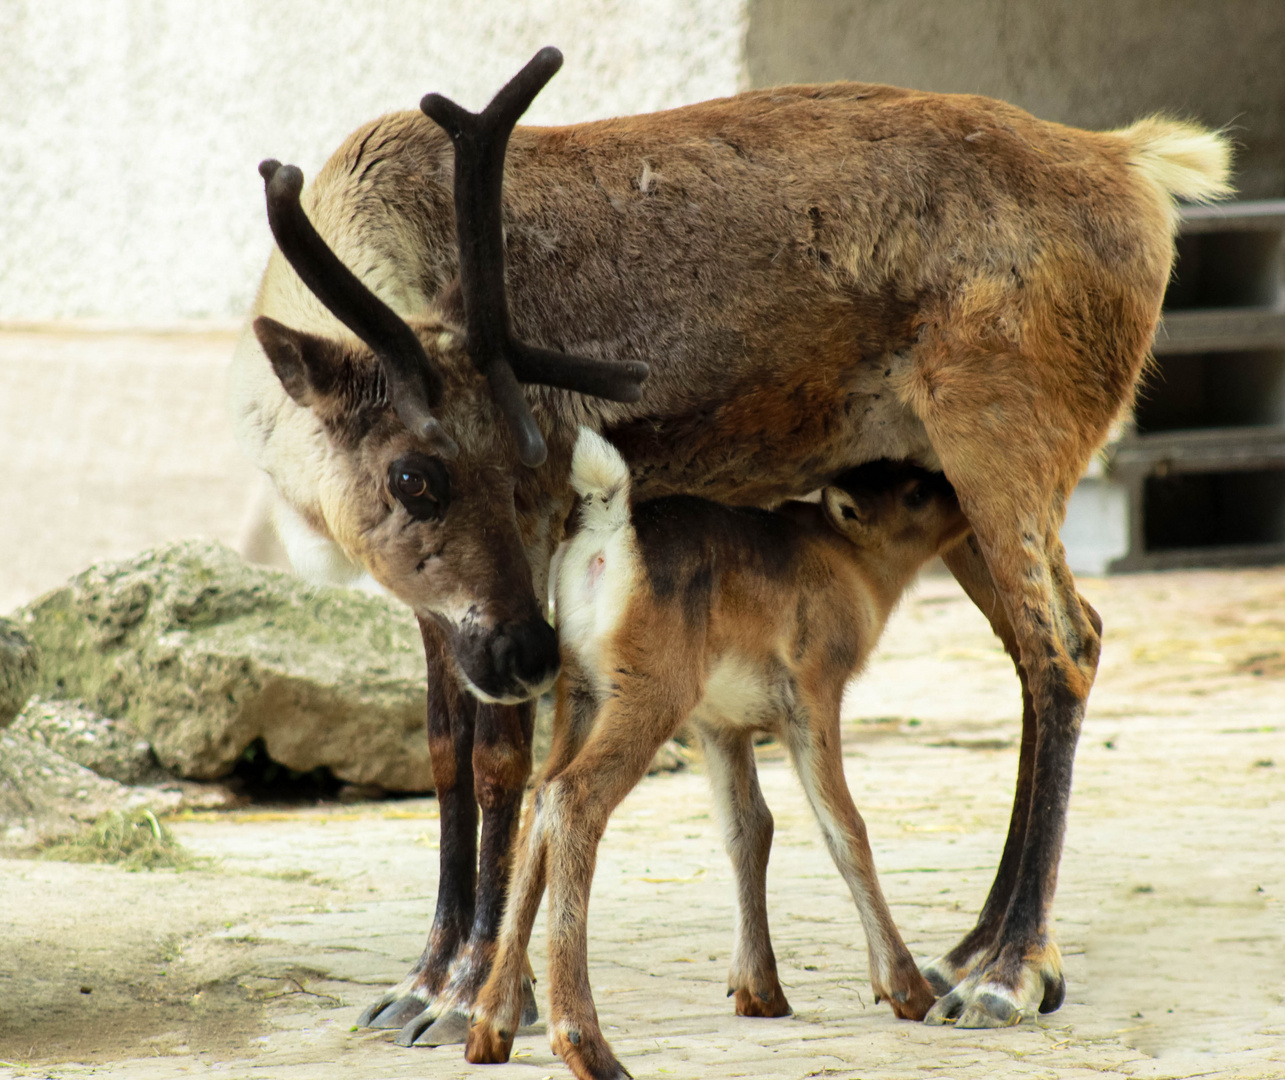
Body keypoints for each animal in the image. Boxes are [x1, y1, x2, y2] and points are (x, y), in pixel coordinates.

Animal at [472, 429, 971, 1080]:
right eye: (914, 493)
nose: (961, 494)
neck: (857, 571)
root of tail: (608, 525)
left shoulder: (720, 724)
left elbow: (748, 827)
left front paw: (759, 988)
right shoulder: (815, 694)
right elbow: (844, 828)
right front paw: (907, 987)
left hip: (579, 690)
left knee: (540, 800)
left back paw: (491, 1023)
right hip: (651, 689)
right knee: (571, 799)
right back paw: (584, 1042)